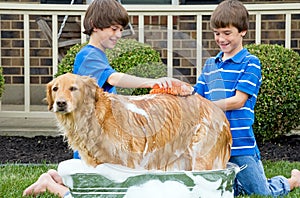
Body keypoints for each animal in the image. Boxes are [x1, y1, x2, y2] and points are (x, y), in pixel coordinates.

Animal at [46, 72, 232, 170]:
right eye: (55, 88)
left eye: (73, 88)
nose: (60, 103)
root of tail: (215, 108)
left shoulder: (127, 162)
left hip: (202, 159)